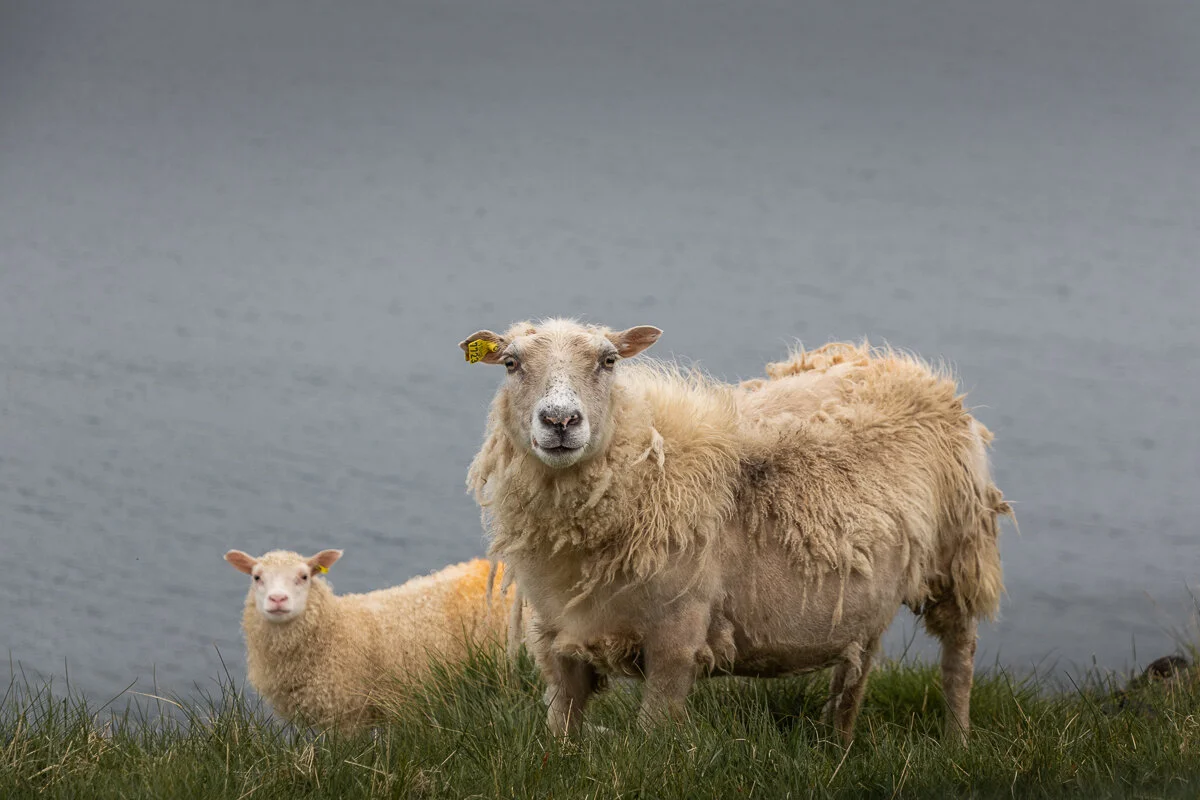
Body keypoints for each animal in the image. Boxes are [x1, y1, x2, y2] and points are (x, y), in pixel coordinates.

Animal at [461, 318, 1010, 746]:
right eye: (510, 363)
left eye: (609, 360)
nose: (560, 420)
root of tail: (903, 363)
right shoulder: (556, 639)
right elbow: (560, 731)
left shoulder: (677, 638)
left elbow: (651, 736)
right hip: (866, 592)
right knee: (857, 663)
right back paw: (838, 742)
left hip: (959, 554)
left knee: (959, 658)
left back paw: (956, 742)